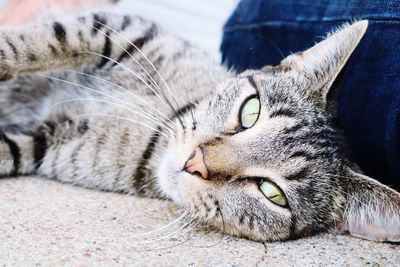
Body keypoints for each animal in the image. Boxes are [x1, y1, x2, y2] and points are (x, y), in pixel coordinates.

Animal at [0, 11, 398, 244]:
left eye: (272, 193)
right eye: (251, 110)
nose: (197, 161)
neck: (156, 130)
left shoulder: (42, 143)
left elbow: (8, 149)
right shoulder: (123, 26)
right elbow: (47, 40)